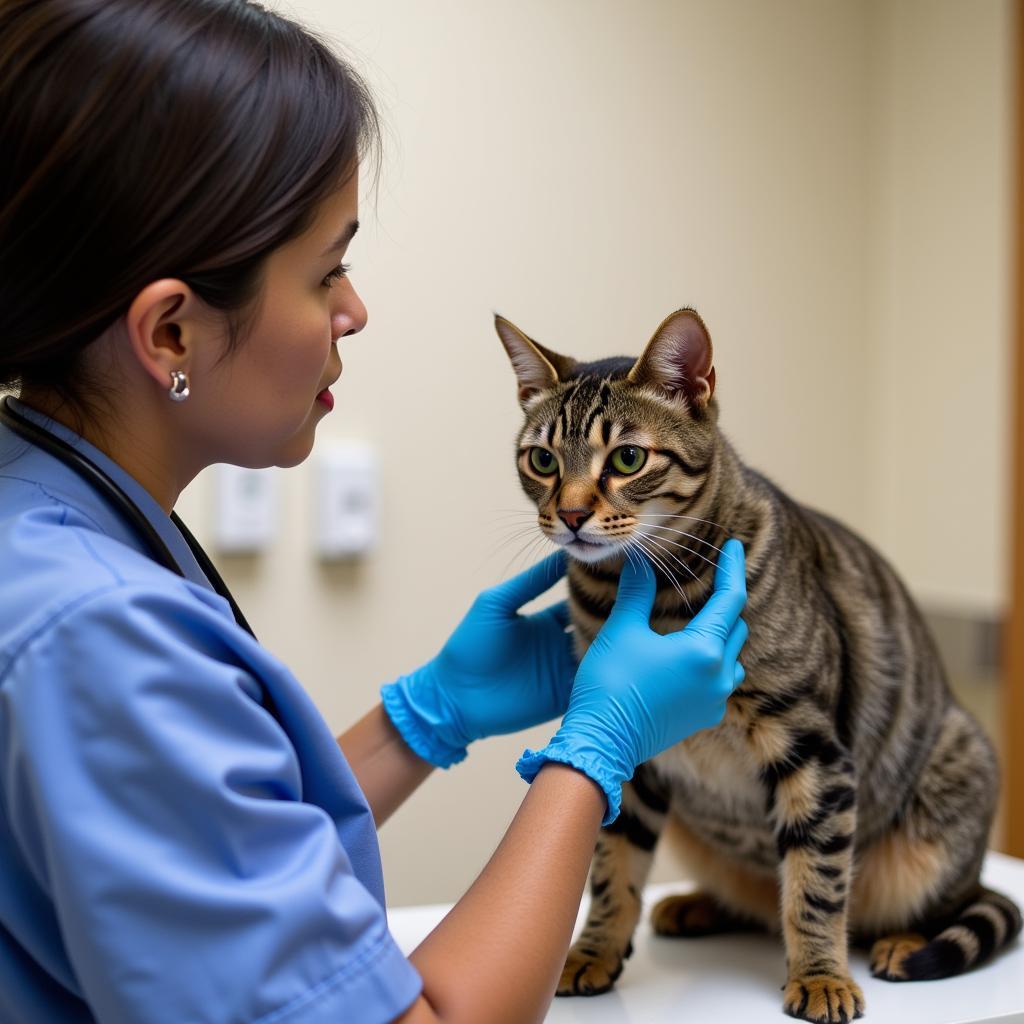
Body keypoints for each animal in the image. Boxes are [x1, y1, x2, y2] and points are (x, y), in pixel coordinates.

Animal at [493, 309, 1015, 1024]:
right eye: (541, 460)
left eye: (627, 458)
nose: (569, 515)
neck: (648, 600)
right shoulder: (627, 749)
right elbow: (612, 869)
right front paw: (594, 950)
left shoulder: (811, 748)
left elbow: (815, 882)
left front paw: (821, 975)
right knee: (757, 903)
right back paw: (697, 905)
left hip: (949, 797)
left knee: (940, 903)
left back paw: (903, 942)